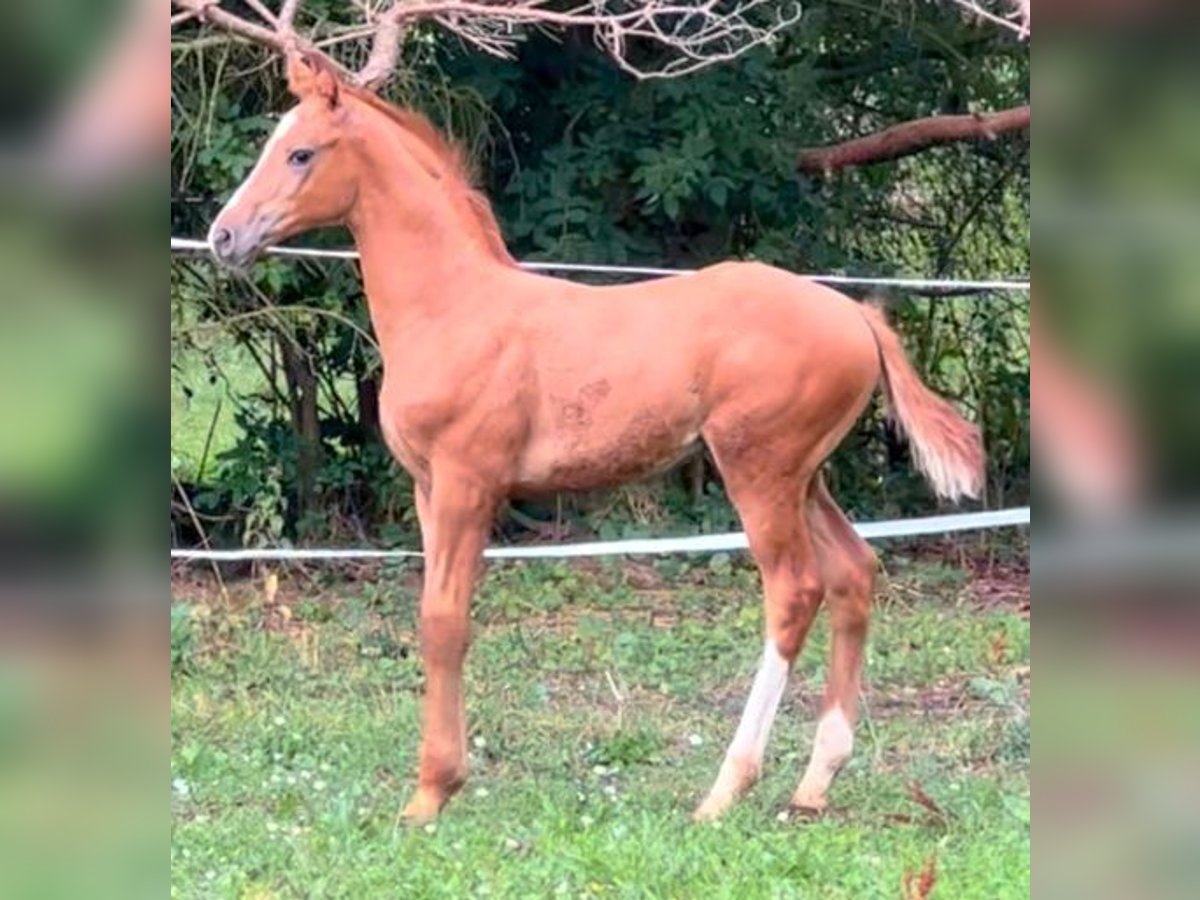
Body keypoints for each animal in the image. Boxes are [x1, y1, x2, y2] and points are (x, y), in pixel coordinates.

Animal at [208, 51, 984, 825]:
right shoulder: (429, 489)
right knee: (855, 572)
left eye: (301, 153)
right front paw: (442, 780)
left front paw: (429, 793)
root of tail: (857, 316)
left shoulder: (467, 483)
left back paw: (725, 788)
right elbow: (441, 620)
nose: (224, 236)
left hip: (759, 471)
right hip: (806, 476)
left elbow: (443, 622)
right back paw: (815, 782)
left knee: (794, 591)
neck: (454, 308)